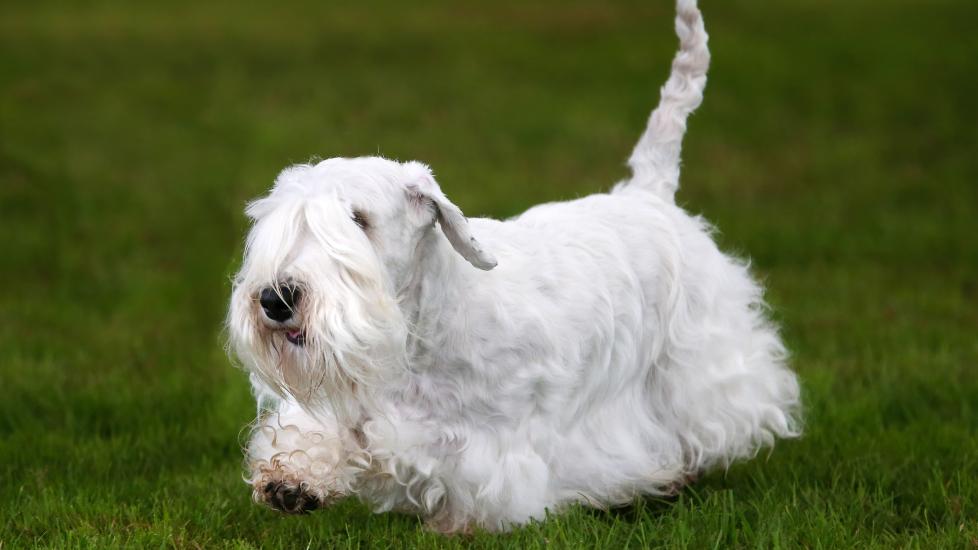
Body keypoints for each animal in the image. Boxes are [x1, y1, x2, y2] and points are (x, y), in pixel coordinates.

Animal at [229, 0, 800, 536]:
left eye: (358, 219)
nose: (275, 300)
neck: (417, 336)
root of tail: (647, 192)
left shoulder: (491, 448)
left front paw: (458, 525)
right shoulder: (357, 408)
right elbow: (319, 435)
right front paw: (291, 481)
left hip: (703, 366)